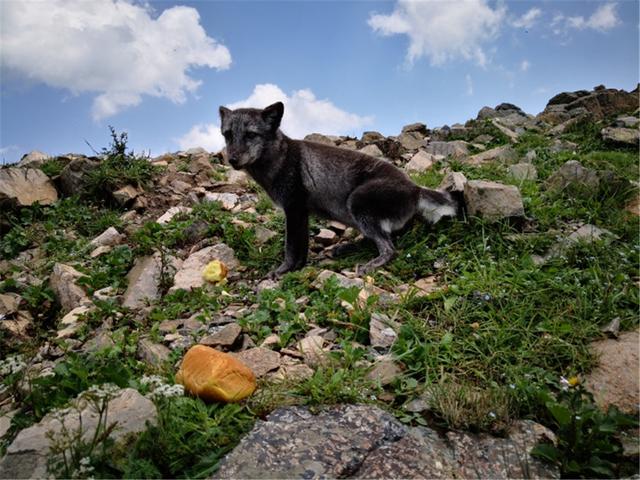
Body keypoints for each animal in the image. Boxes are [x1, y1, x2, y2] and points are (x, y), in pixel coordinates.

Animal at [220, 103, 460, 278]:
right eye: (228, 134)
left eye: (251, 135)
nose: (232, 159)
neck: (280, 158)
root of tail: (415, 188)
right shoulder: (301, 213)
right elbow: (301, 248)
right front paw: (298, 268)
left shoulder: (293, 208)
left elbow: (291, 247)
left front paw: (283, 271)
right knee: (382, 239)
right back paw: (346, 248)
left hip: (357, 202)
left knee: (389, 248)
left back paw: (370, 263)